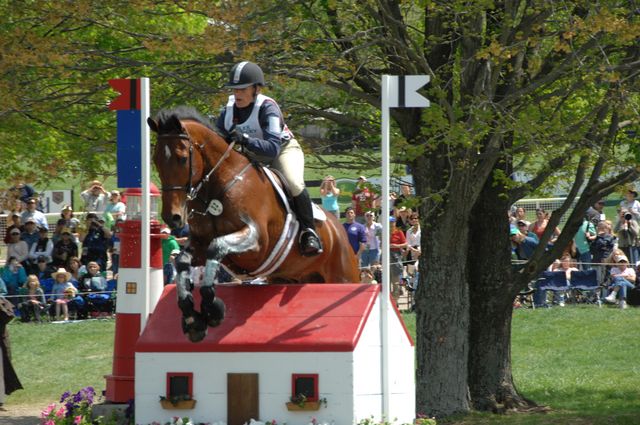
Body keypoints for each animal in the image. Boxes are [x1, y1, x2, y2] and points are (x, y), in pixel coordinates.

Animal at [148, 105, 362, 342]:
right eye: (156, 160)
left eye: (183, 158)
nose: (172, 217)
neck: (218, 185)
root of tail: (340, 230)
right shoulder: (200, 244)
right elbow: (182, 261)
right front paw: (192, 319)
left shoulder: (257, 243)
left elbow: (217, 247)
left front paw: (213, 310)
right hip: (290, 278)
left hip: (344, 277)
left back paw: (311, 241)